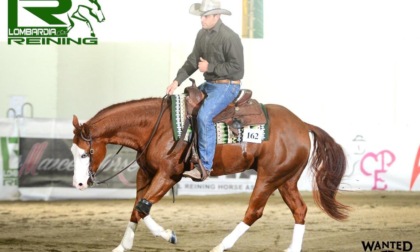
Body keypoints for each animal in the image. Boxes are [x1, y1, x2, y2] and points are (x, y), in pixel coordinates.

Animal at [70, 95, 350, 252]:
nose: (79, 184)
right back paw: (292, 248)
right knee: (299, 210)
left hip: (269, 177)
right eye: (72, 151)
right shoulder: (145, 173)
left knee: (254, 211)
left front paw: (169, 235)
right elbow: (137, 208)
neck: (157, 127)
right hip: (286, 180)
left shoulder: (168, 175)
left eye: (85, 154)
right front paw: (122, 246)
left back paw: (220, 246)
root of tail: (302, 125)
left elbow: (142, 207)